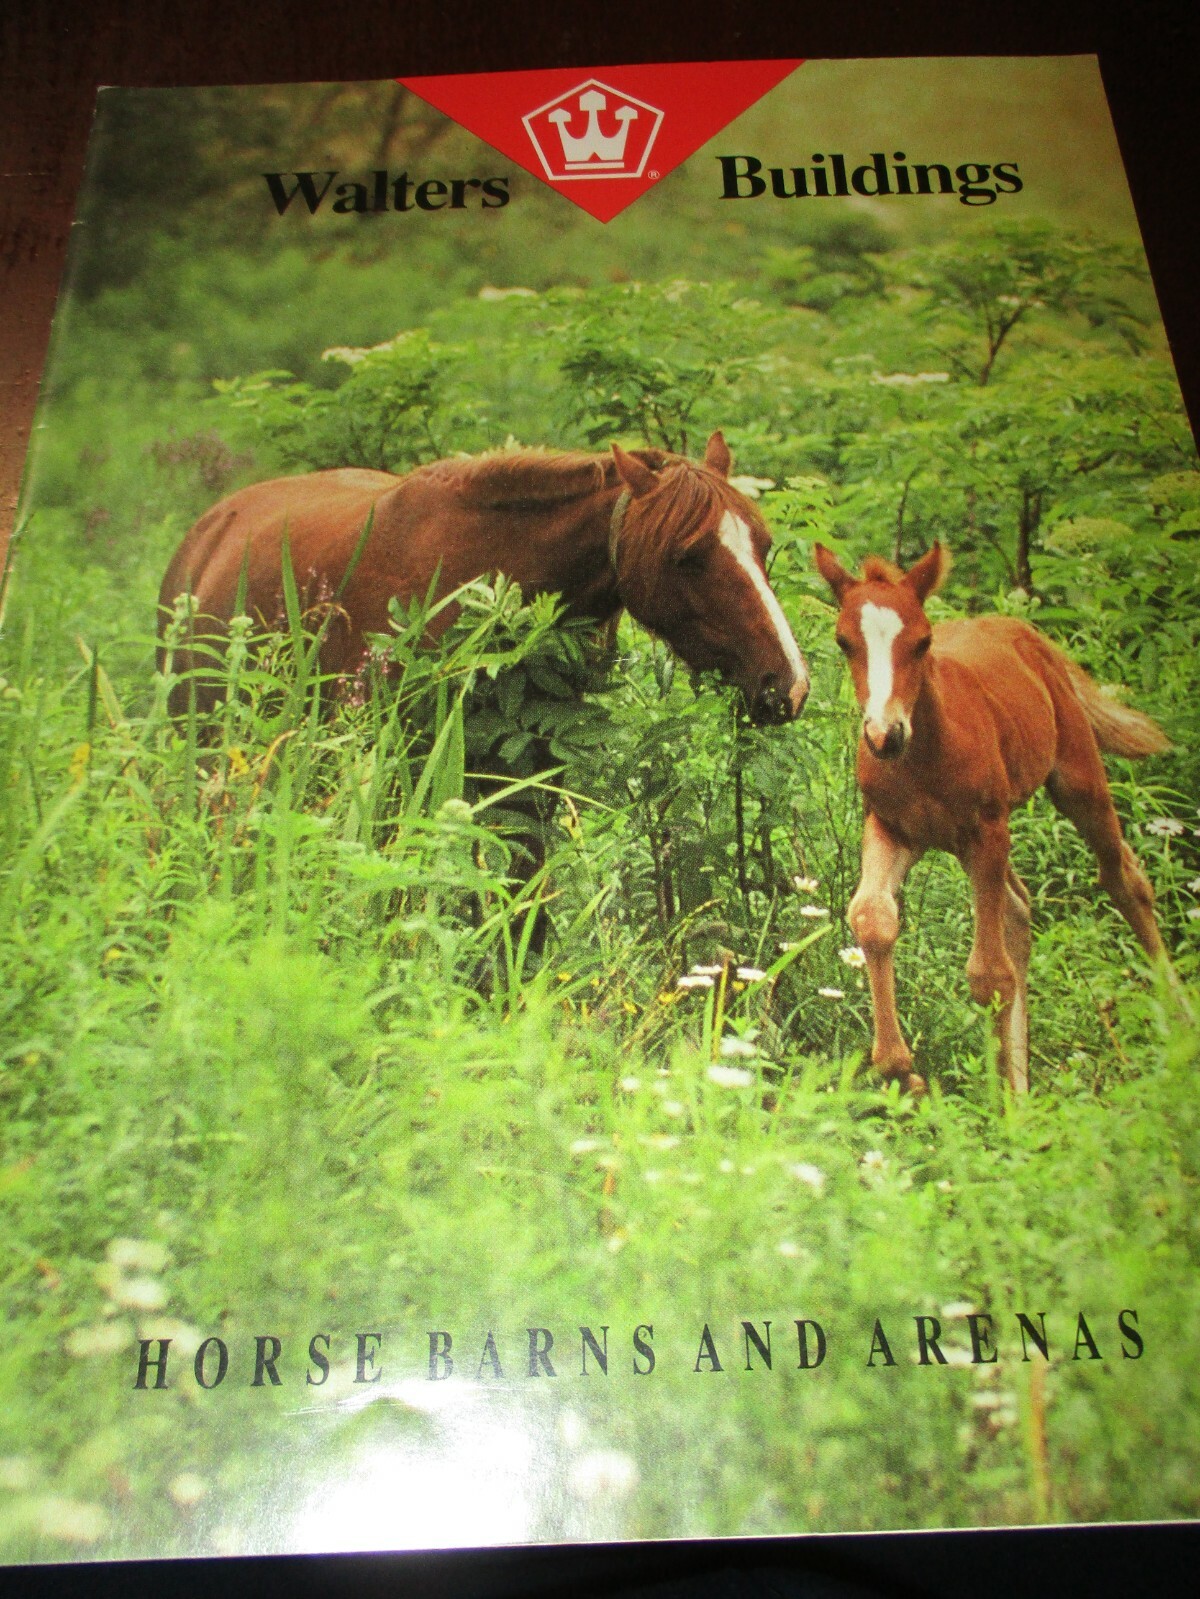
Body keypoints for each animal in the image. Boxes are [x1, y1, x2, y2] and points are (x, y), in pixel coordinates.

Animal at [813, 541, 1169, 1095]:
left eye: (922, 642)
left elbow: (989, 975)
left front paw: (1001, 1107)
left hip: (1076, 778)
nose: (883, 735)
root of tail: (1023, 629)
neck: (925, 756)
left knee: (1123, 878)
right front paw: (903, 1072)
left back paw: (1179, 1025)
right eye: (844, 641)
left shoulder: (987, 830)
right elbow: (872, 918)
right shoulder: (892, 828)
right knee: (1020, 910)